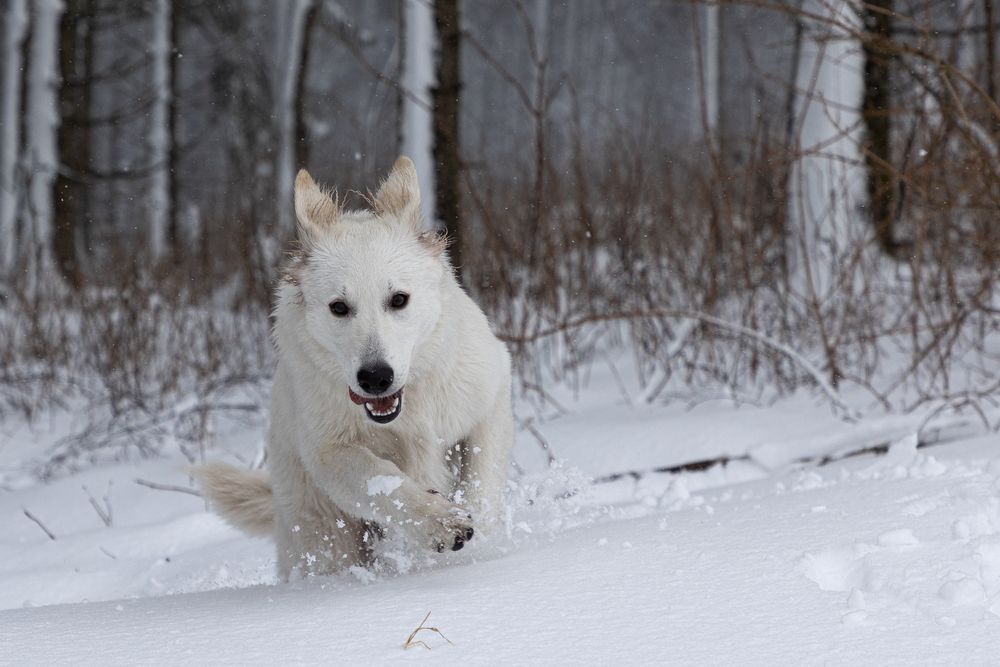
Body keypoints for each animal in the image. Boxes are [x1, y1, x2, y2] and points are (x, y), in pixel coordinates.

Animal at [199, 157, 520, 580]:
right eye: (339, 307)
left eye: (398, 299)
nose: (375, 378)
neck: (408, 404)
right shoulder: (328, 452)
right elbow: (380, 481)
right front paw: (439, 522)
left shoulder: (490, 397)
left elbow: (482, 477)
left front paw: (478, 538)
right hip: (324, 541)